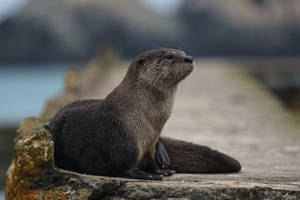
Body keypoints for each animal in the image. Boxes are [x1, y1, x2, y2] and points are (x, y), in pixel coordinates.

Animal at [49, 48, 241, 180]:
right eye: (169, 56)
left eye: (182, 52)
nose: (189, 58)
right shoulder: (120, 138)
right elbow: (125, 167)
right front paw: (149, 175)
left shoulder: (149, 145)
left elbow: (151, 162)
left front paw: (162, 170)